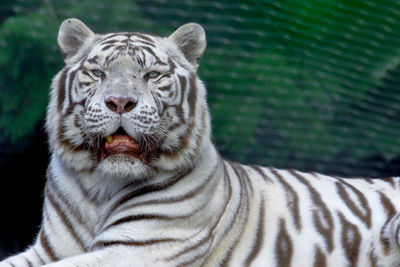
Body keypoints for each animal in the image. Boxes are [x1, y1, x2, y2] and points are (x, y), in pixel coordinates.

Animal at [2, 17, 400, 266]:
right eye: (97, 73)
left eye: (152, 75)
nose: (120, 102)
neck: (100, 188)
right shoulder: (50, 249)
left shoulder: (139, 248)